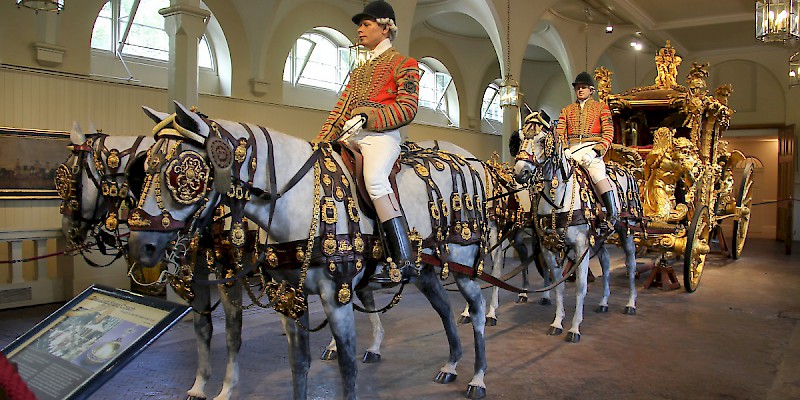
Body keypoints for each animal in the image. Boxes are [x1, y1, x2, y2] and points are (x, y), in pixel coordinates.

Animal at [130, 103, 494, 400]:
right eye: (145, 169)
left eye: (182, 171)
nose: (139, 245)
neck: (301, 199)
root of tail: (468, 164)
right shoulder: (288, 295)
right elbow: (298, 363)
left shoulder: (336, 295)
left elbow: (347, 368)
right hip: (424, 268)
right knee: (443, 307)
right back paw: (451, 364)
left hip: (461, 260)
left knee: (475, 308)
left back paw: (477, 377)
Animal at [512, 112, 636, 344]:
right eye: (522, 137)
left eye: (542, 140)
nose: (520, 173)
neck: (559, 195)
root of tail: (627, 171)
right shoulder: (549, 247)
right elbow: (558, 283)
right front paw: (557, 322)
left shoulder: (580, 246)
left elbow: (580, 285)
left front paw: (575, 327)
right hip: (599, 237)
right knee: (606, 262)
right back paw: (604, 302)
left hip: (627, 231)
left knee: (631, 264)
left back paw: (631, 303)